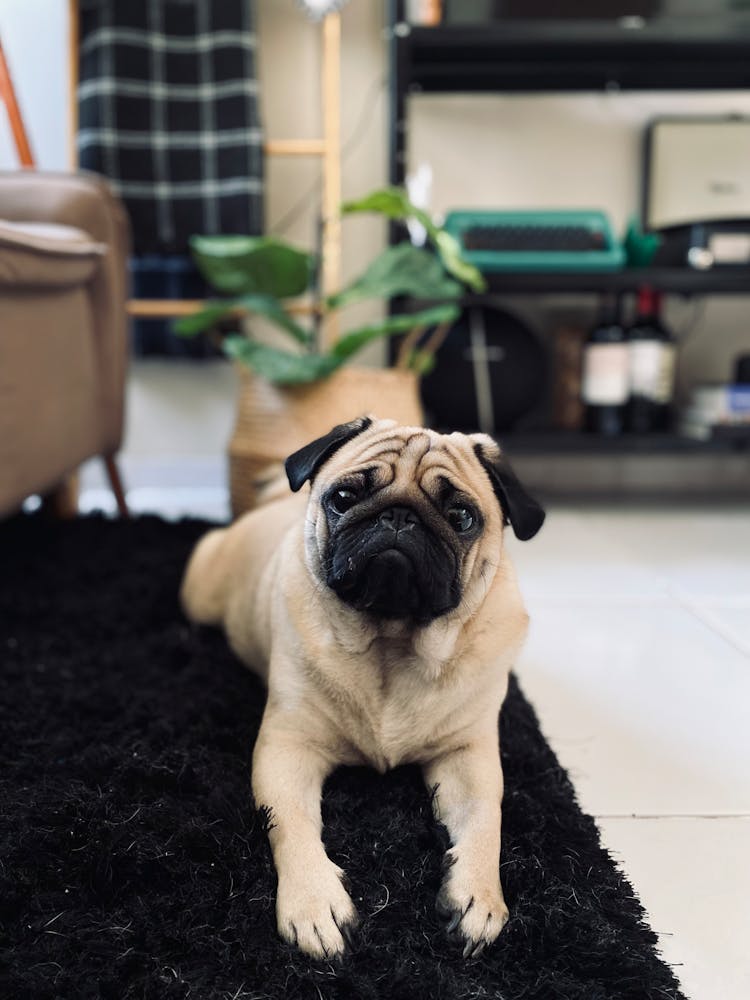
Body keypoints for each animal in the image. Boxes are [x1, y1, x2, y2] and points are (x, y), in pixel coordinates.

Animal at [182, 416, 548, 960]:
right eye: (343, 497)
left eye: (461, 516)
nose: (399, 517)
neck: (390, 647)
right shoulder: (288, 749)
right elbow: (291, 824)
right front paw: (314, 902)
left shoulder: (468, 754)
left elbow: (487, 820)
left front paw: (479, 895)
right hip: (201, 591)